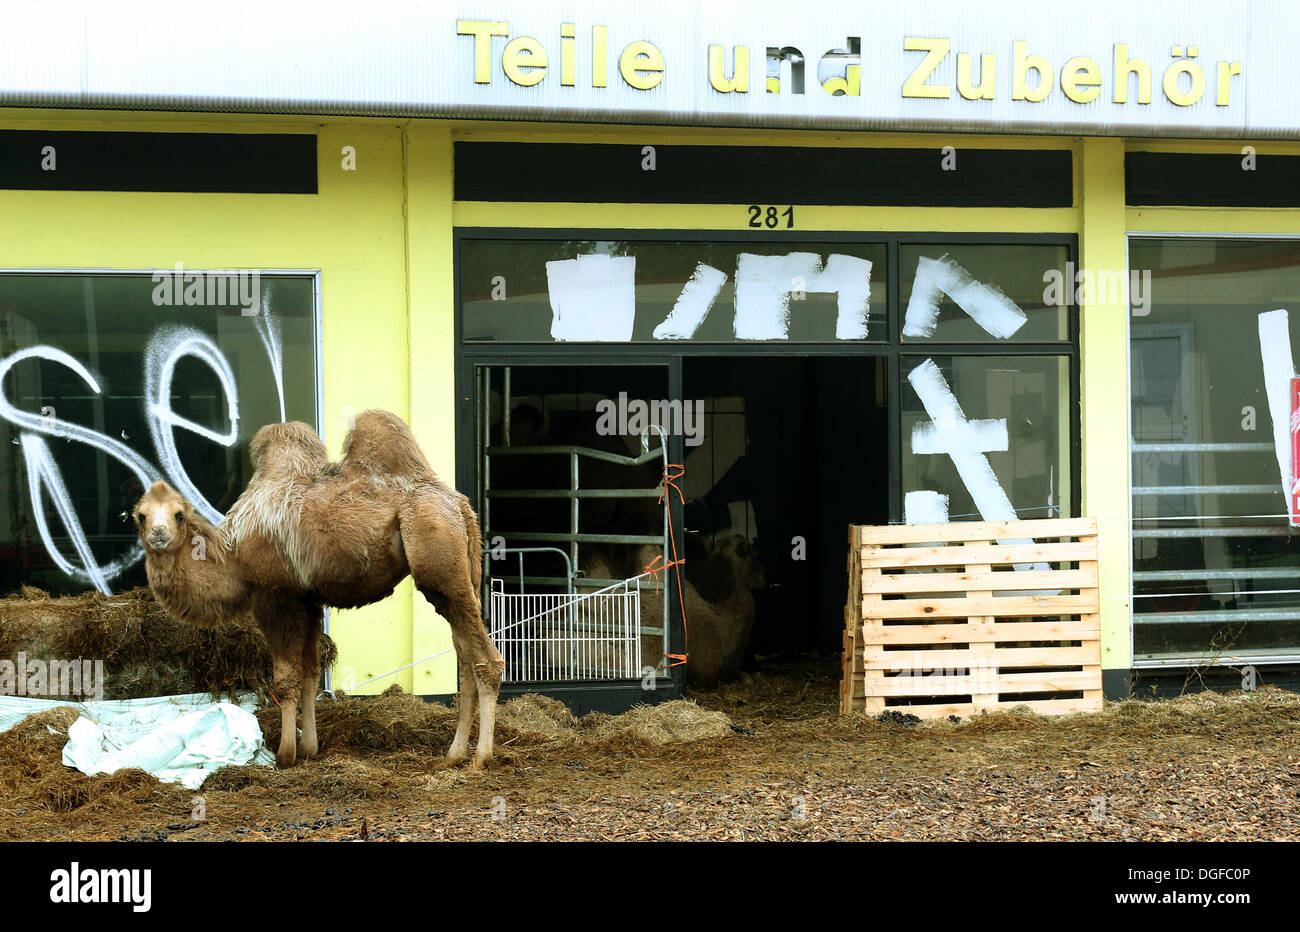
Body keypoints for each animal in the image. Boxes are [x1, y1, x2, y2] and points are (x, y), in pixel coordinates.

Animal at [131, 410, 504, 769]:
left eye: (179, 514)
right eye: (140, 515)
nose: (159, 534)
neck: (233, 554)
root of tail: (460, 505)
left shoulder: (274, 595)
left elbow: (285, 677)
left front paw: (285, 755)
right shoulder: (307, 599)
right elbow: (311, 672)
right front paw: (309, 747)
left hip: (438, 559)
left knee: (486, 658)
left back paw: (481, 757)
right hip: (461, 574)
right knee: (464, 654)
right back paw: (454, 755)